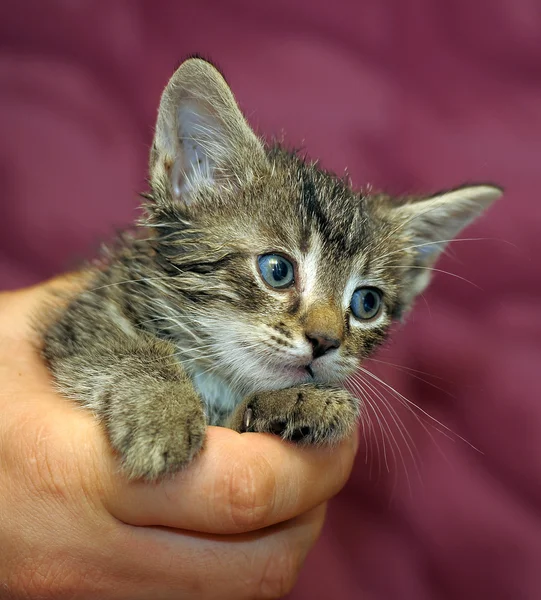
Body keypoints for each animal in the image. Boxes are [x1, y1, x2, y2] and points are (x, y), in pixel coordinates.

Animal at [40, 56, 500, 478]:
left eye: (367, 303)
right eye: (277, 270)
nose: (325, 341)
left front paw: (302, 402)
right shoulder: (85, 318)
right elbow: (119, 346)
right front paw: (163, 413)